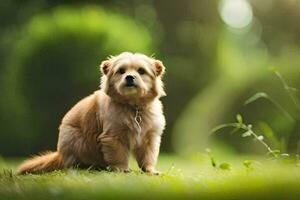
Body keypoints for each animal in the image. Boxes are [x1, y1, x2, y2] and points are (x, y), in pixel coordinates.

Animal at [17, 52, 166, 175]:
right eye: (121, 71)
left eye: (141, 71)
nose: (129, 77)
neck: (133, 106)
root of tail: (60, 154)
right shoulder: (113, 137)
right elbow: (119, 156)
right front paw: (122, 168)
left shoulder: (149, 138)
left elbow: (148, 156)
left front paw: (150, 170)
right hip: (77, 140)